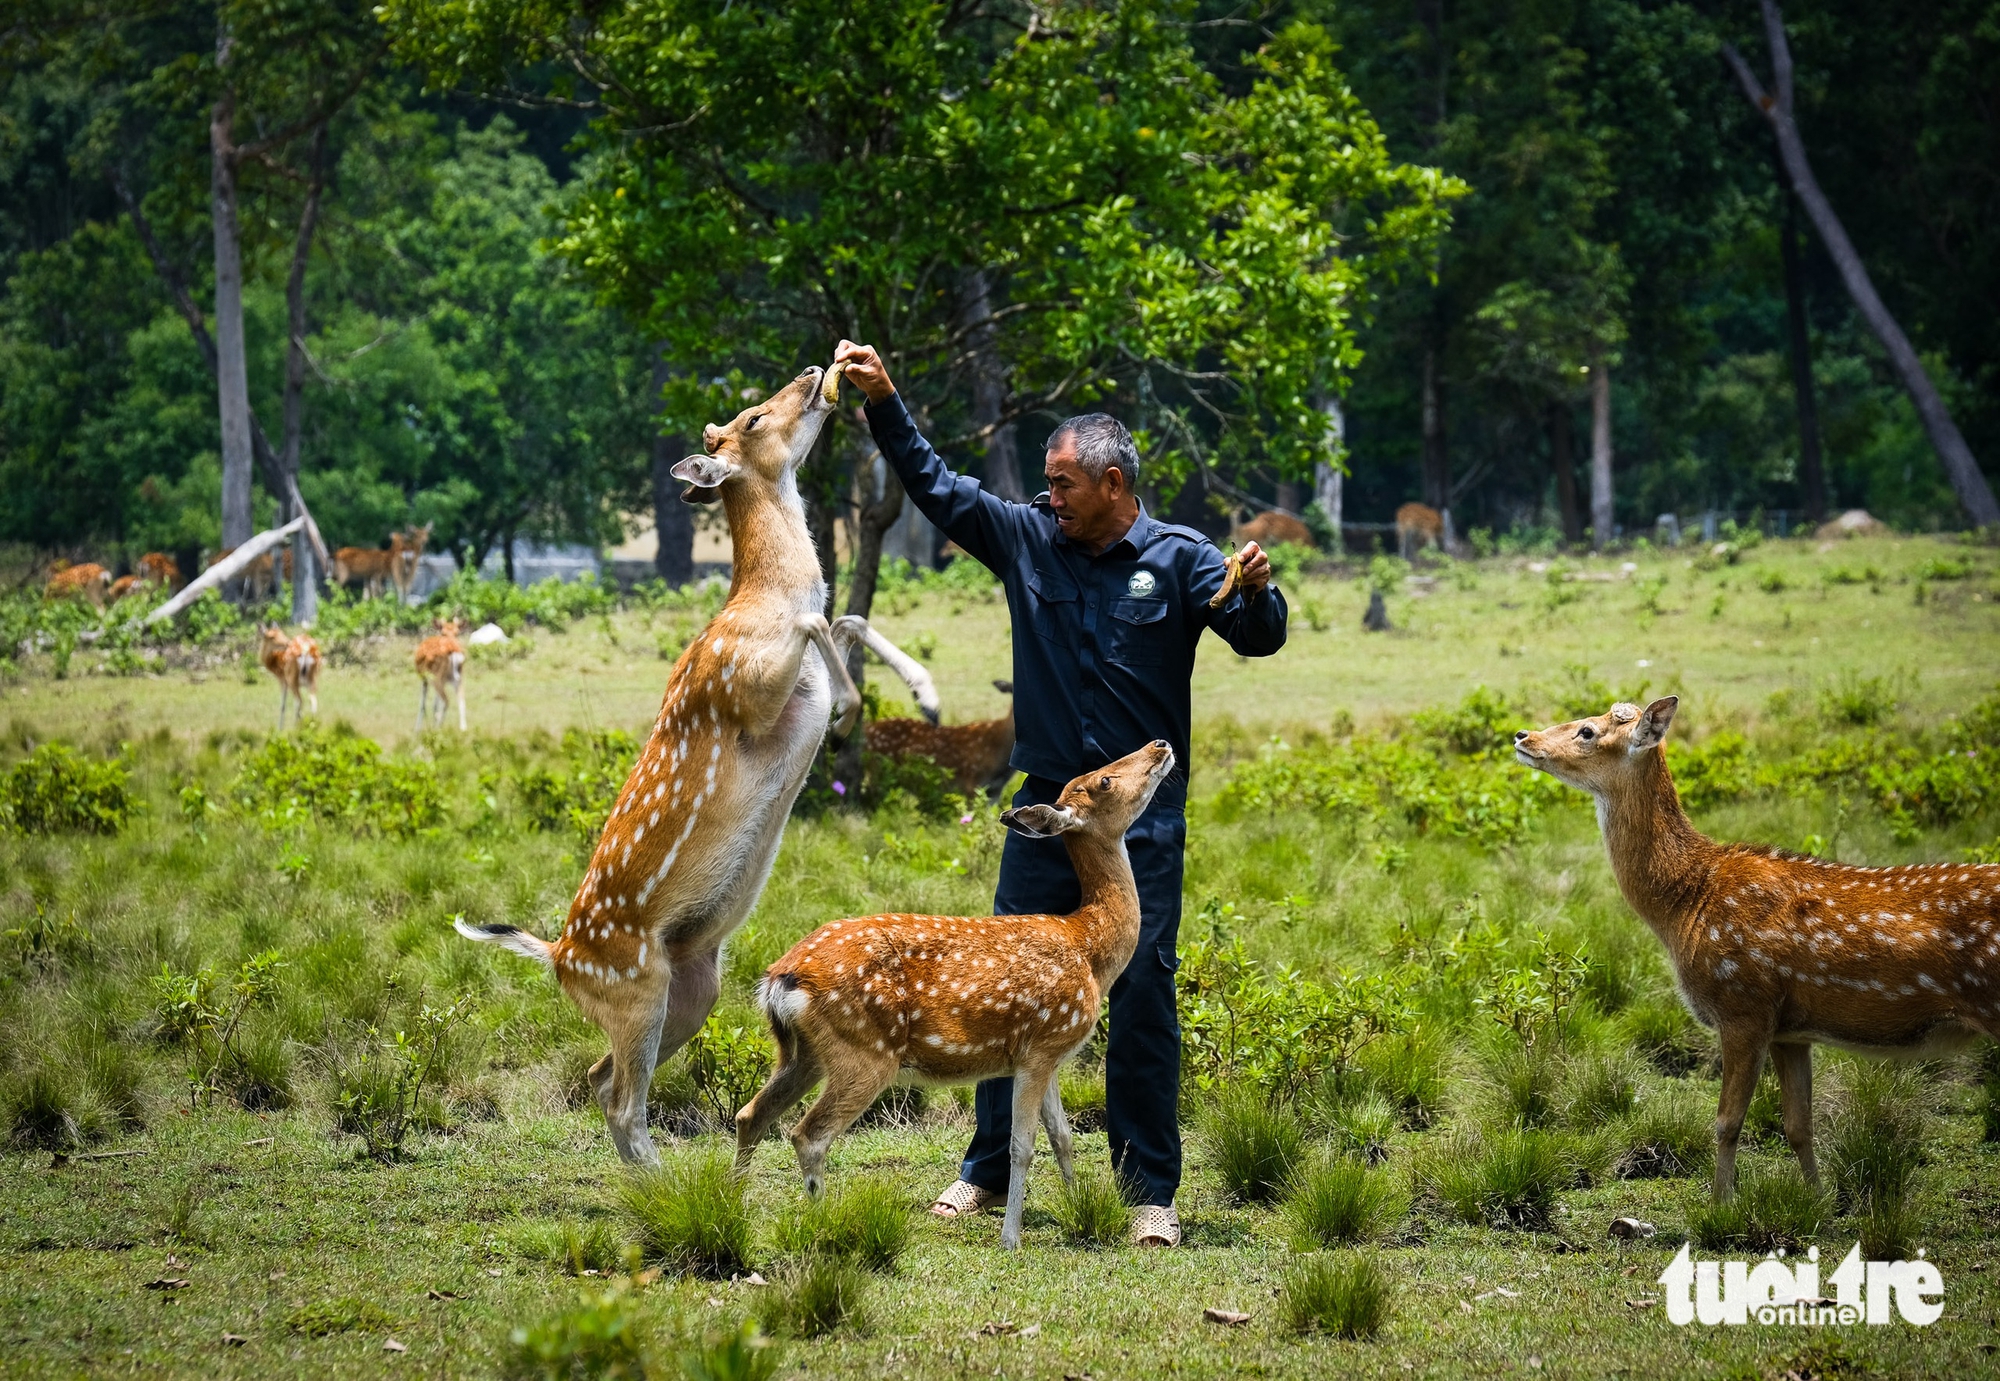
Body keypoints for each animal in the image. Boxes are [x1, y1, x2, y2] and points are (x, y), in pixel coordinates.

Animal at [453, 361, 875, 1165]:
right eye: (750, 418)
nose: (815, 369)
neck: (762, 599)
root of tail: (557, 956)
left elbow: (849, 617)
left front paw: (875, 696)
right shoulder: (744, 691)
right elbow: (818, 621)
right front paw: (849, 704)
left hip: (693, 988)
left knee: (598, 1079)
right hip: (637, 985)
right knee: (621, 1099)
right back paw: (666, 1179)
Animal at [734, 739, 1177, 1249]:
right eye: (1104, 779)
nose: (1160, 744)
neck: (1089, 950)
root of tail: (779, 979)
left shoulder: (1046, 1052)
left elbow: (1062, 1138)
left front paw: (1080, 1208)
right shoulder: (1042, 1044)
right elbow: (1022, 1146)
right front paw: (1011, 1239)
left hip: (802, 1052)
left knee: (751, 1115)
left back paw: (730, 1203)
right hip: (865, 1050)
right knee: (808, 1134)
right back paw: (823, 1224)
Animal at [1514, 697, 2000, 1200]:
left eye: (1588, 732)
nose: (1523, 736)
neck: (1686, 905)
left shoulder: (1744, 1004)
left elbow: (1727, 1121)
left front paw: (1721, 1204)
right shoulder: (1792, 1030)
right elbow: (1799, 1126)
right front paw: (1817, 1201)